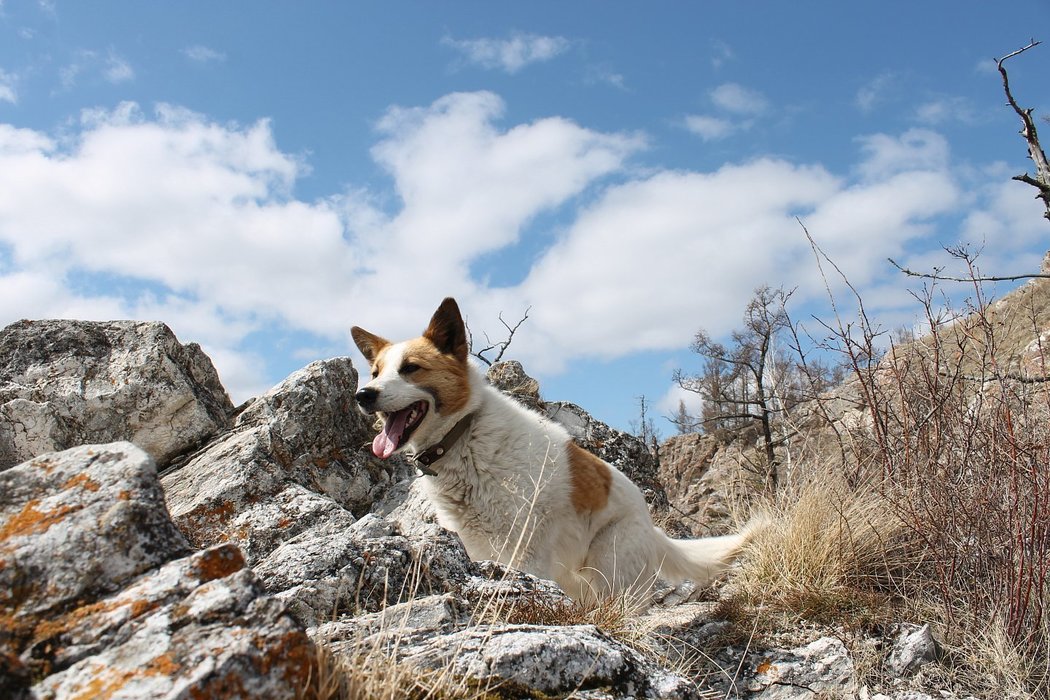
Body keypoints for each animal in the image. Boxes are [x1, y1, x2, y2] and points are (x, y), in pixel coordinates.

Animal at [351, 297, 754, 604]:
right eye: (375, 373)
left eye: (411, 368)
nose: (363, 395)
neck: (465, 432)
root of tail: (653, 527)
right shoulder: (477, 548)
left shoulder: (525, 551)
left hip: (609, 569)